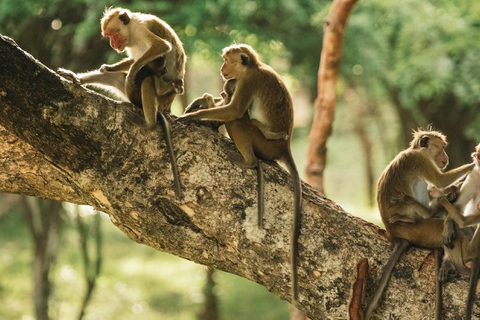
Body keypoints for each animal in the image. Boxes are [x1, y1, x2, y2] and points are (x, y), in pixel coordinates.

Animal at [55, 6, 184, 198]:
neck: (132, 32)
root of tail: (167, 106)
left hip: (160, 99)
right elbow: (125, 63)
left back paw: (149, 123)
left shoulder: (142, 28)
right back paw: (77, 79)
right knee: (114, 78)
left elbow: (161, 46)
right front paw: (110, 67)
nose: (112, 45)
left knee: (147, 81)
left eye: (112, 34)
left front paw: (133, 70)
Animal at [180, 43, 300, 302]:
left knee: (238, 121)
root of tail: (284, 147)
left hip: (265, 143)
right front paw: (203, 103)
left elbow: (234, 110)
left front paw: (193, 115)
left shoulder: (247, 82)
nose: (221, 69)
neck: (254, 67)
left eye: (226, 60)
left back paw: (248, 161)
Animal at [366, 127, 474, 320]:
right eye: (441, 147)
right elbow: (440, 180)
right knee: (436, 222)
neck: (418, 151)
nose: (446, 158)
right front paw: (473, 163)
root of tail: (394, 232)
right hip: (418, 230)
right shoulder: (419, 160)